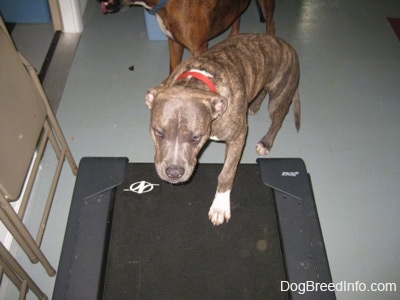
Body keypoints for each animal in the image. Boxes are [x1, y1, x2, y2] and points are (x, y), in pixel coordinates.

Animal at [101, 0, 276, 72]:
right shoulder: (174, 42)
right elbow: (173, 68)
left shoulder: (198, 49)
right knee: (236, 18)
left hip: (266, 6)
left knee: (270, 24)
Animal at [145, 33, 300, 225]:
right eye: (158, 132)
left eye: (196, 138)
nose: (174, 173)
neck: (197, 82)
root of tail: (286, 44)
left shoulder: (237, 138)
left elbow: (226, 173)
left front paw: (219, 206)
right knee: (261, 91)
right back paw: (253, 106)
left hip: (278, 98)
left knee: (277, 119)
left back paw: (266, 142)